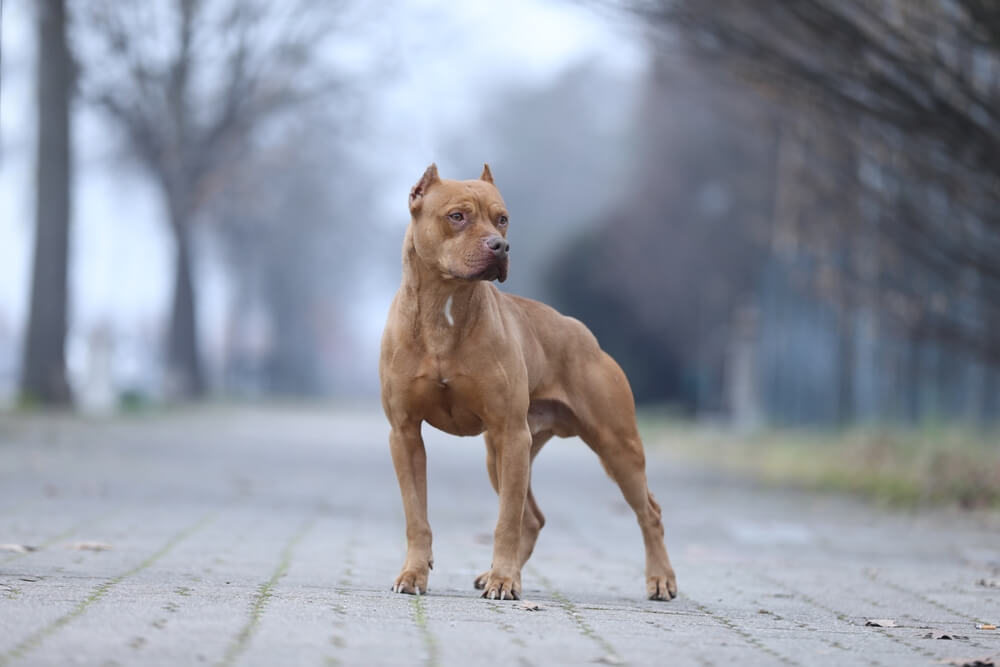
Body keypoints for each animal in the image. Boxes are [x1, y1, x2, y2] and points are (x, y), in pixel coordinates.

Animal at [378, 164, 676, 604]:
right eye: (457, 216)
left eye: (502, 218)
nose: (500, 246)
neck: (444, 307)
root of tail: (583, 333)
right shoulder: (405, 433)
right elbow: (417, 515)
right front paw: (414, 574)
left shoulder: (510, 432)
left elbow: (506, 521)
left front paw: (504, 581)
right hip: (500, 453)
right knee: (533, 518)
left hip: (612, 445)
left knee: (647, 512)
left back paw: (660, 579)